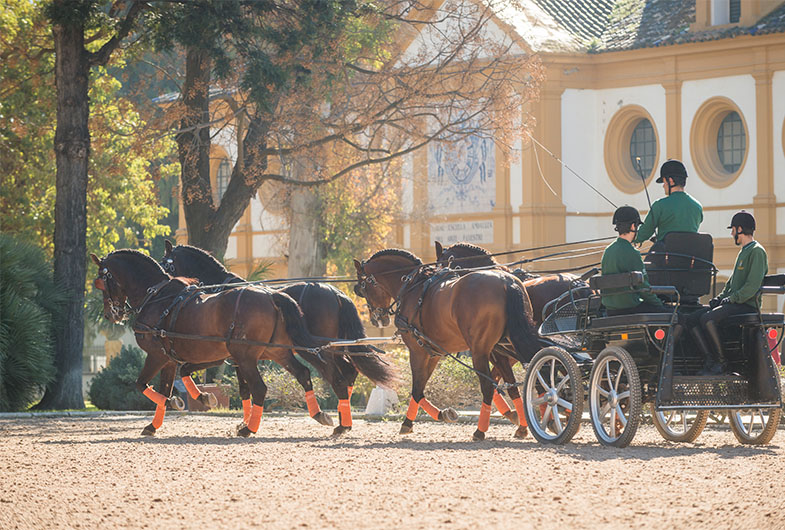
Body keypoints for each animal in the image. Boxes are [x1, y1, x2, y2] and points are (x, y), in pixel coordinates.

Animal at [90, 250, 324, 436]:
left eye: (101, 282)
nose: (110, 314)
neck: (158, 298)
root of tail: (271, 296)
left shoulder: (157, 355)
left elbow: (142, 385)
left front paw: (175, 403)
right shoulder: (174, 359)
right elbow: (173, 381)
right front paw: (158, 422)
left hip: (246, 357)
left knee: (259, 388)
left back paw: (250, 428)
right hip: (275, 352)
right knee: (303, 373)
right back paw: (319, 414)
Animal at [162, 241, 402, 436]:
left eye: (167, 264)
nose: (166, 286)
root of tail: (336, 294)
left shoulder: (237, 356)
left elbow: (245, 388)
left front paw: (245, 423)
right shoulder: (240, 357)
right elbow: (245, 389)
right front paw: (245, 422)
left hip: (318, 350)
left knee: (340, 376)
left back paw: (341, 421)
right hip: (335, 347)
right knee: (349, 372)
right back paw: (343, 418)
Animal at [354, 250, 540, 440]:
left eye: (363, 287)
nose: (377, 319)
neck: (414, 287)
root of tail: (506, 281)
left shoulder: (417, 351)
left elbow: (417, 387)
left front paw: (408, 423)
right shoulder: (433, 353)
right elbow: (421, 388)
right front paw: (442, 414)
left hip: (480, 351)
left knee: (489, 386)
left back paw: (480, 431)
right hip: (503, 346)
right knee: (515, 384)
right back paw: (523, 425)